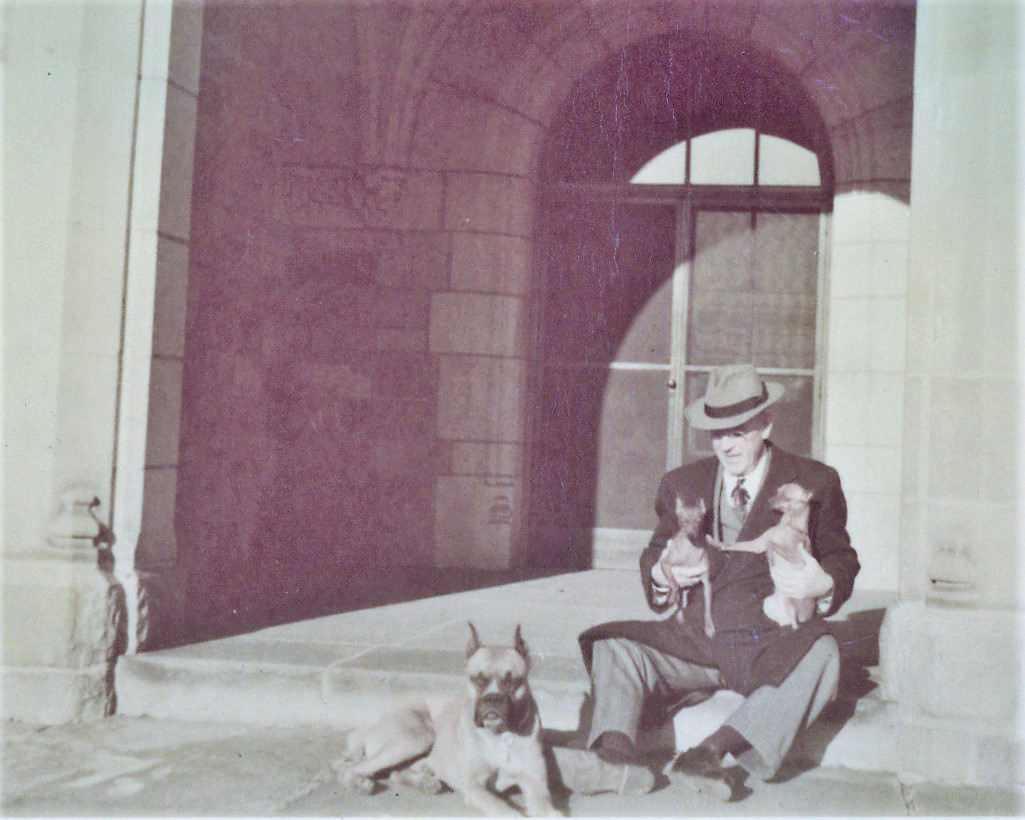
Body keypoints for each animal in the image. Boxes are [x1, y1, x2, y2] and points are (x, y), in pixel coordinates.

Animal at [334, 623, 561, 815]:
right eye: (477, 679)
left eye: (512, 681)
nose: (492, 698)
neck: (501, 735)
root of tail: (369, 726)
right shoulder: (475, 787)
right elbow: (505, 810)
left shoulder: (536, 786)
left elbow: (549, 810)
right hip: (417, 736)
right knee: (352, 768)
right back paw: (359, 783)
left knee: (395, 772)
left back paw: (425, 782)